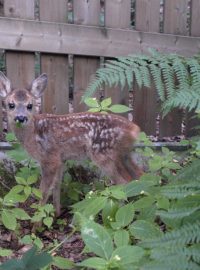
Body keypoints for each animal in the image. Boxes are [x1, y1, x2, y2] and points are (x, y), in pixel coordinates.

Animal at [0, 73, 144, 216]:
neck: (33, 134)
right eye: (11, 104)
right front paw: (56, 213)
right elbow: (57, 185)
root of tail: (134, 129)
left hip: (104, 154)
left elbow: (43, 191)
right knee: (140, 176)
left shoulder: (49, 158)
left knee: (123, 181)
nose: (20, 118)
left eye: (30, 105)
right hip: (125, 154)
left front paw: (38, 219)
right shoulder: (60, 160)